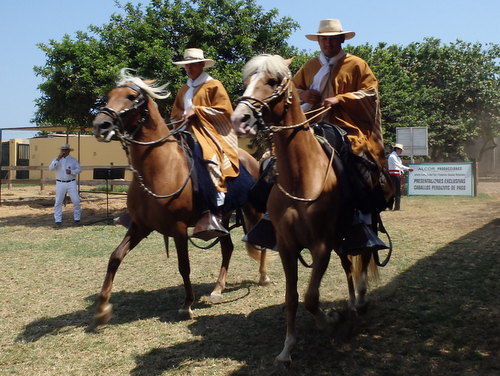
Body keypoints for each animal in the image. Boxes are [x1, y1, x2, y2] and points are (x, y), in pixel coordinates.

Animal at [91, 69, 270, 324]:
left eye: (131, 96)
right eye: (109, 95)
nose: (101, 125)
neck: (159, 168)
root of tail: (253, 160)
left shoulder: (178, 227)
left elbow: (183, 265)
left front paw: (187, 305)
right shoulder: (140, 226)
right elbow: (115, 257)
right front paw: (102, 308)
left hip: (253, 209)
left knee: (258, 241)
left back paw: (263, 277)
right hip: (223, 218)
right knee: (227, 248)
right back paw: (218, 288)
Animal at [231, 54, 378, 366]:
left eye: (273, 80)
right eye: (247, 79)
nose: (240, 120)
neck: (301, 178)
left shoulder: (321, 245)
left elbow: (311, 297)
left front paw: (329, 321)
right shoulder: (288, 247)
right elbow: (292, 297)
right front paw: (287, 348)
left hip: (358, 229)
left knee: (363, 256)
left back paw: (359, 301)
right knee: (348, 264)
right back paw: (350, 305)